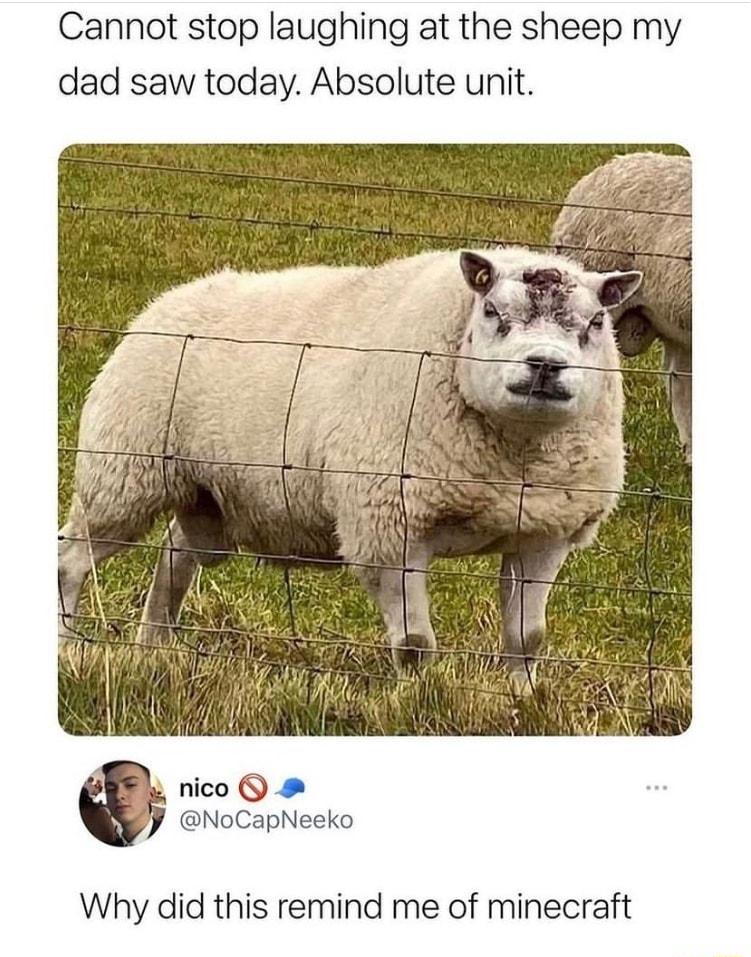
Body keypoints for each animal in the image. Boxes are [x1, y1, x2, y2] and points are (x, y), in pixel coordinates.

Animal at [58, 247, 642, 693]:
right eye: (494, 312)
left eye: (595, 323)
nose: (544, 365)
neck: (514, 456)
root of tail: (169, 301)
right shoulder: (388, 529)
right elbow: (414, 645)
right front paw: (416, 700)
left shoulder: (545, 533)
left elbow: (528, 638)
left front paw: (524, 698)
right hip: (122, 475)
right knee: (71, 559)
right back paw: (67, 647)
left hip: (206, 494)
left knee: (175, 554)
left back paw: (153, 646)